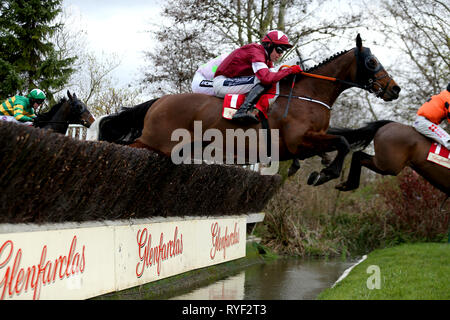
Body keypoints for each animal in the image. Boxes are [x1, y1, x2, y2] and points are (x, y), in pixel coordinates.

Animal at [89, 34, 400, 185]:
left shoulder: (315, 137)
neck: (309, 94)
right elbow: (344, 141)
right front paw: (326, 174)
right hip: (153, 141)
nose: (394, 89)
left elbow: (341, 139)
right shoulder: (298, 141)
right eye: (372, 62)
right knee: (125, 147)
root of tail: (159, 101)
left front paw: (320, 167)